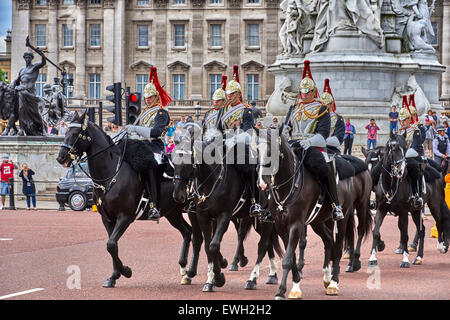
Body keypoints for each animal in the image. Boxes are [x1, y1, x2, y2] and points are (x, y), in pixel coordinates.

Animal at [56, 110, 195, 288]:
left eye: (75, 133)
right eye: (65, 132)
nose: (61, 157)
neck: (110, 174)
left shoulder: (125, 216)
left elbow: (111, 244)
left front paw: (126, 271)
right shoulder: (107, 218)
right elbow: (111, 245)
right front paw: (113, 276)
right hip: (173, 212)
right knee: (187, 232)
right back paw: (185, 271)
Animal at [370, 132, 450, 268]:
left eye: (405, 148)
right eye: (394, 147)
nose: (402, 171)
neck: (390, 184)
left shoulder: (403, 211)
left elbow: (404, 234)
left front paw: (405, 259)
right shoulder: (381, 209)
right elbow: (376, 231)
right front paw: (373, 257)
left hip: (434, 204)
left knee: (440, 221)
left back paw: (441, 246)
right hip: (415, 210)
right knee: (422, 230)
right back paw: (418, 257)